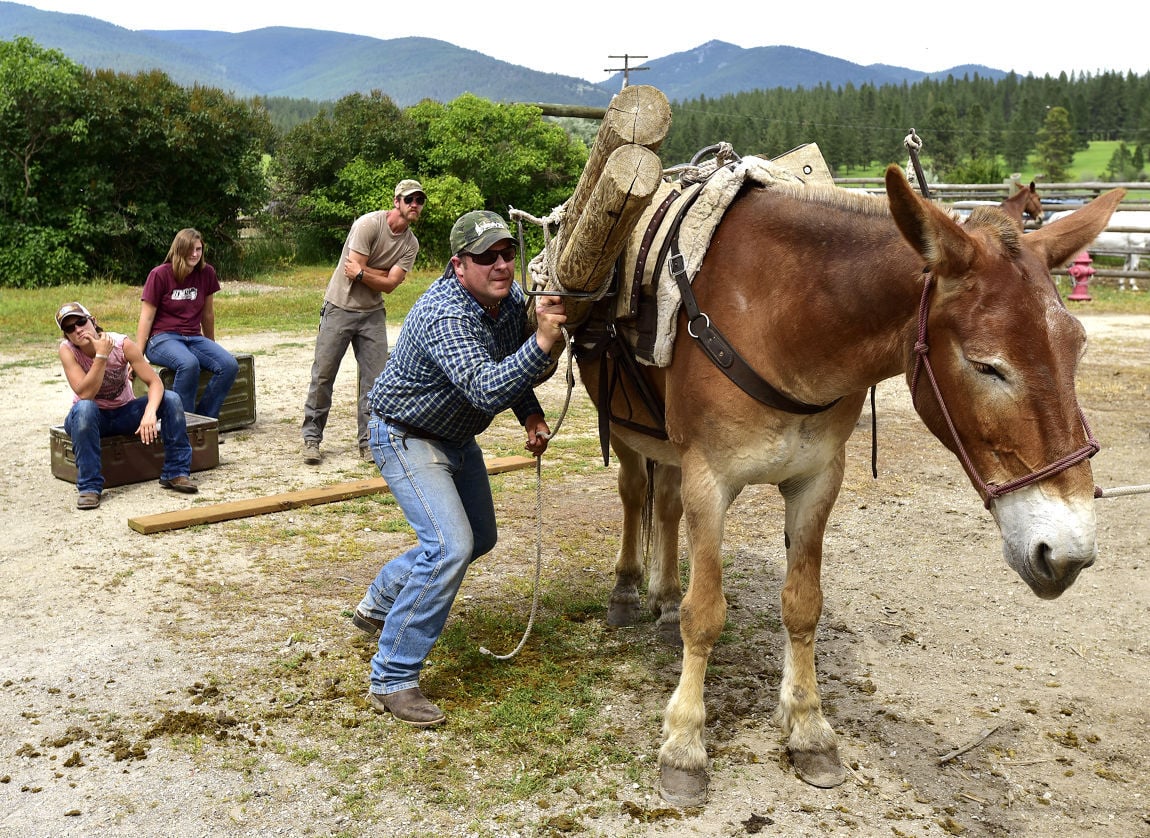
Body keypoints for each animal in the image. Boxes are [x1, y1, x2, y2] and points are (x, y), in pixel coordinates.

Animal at [575, 165, 1122, 804]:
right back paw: (628, 591)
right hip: (627, 425)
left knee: (663, 505)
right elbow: (706, 612)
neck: (782, 315)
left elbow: (803, 605)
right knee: (636, 494)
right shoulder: (709, 479)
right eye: (987, 366)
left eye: (1077, 348)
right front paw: (684, 745)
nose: (1069, 553)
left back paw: (662, 599)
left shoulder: (817, 479)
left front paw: (809, 729)